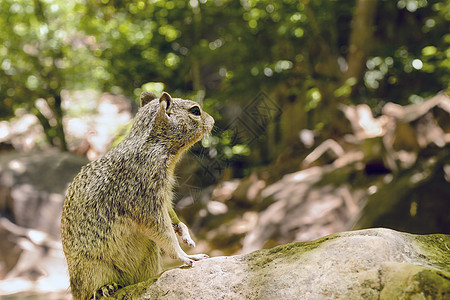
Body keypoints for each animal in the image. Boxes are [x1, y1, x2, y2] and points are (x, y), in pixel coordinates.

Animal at [61, 92, 214, 300]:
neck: (154, 145)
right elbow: (166, 236)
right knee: (91, 290)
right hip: (93, 268)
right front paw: (187, 256)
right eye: (196, 111)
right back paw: (104, 288)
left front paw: (184, 231)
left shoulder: (163, 196)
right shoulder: (146, 203)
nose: (213, 120)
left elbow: (172, 216)